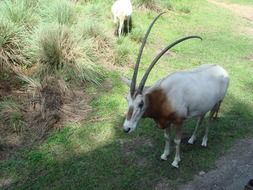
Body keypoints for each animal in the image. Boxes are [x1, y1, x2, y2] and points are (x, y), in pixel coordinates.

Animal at [122, 13, 229, 168]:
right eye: (127, 100)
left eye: (141, 103)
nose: (127, 128)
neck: (164, 95)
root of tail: (223, 70)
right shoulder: (165, 119)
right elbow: (167, 137)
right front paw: (164, 155)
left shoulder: (179, 121)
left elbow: (177, 140)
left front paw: (176, 161)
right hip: (204, 104)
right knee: (201, 118)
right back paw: (192, 139)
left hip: (217, 103)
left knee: (209, 120)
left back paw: (204, 141)